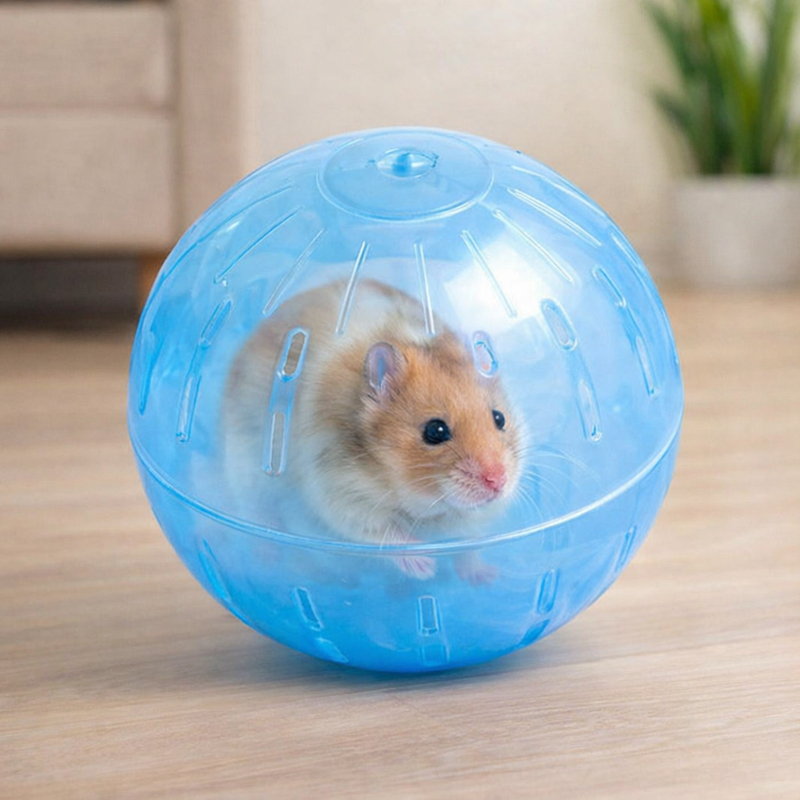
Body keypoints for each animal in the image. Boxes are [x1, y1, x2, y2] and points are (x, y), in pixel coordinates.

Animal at [222, 279, 522, 581]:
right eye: (435, 431)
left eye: (499, 418)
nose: (498, 481)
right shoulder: (342, 498)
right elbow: (387, 535)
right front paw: (426, 567)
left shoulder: (472, 521)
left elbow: (468, 544)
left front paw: (485, 576)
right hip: (248, 471)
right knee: (258, 514)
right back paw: (266, 556)